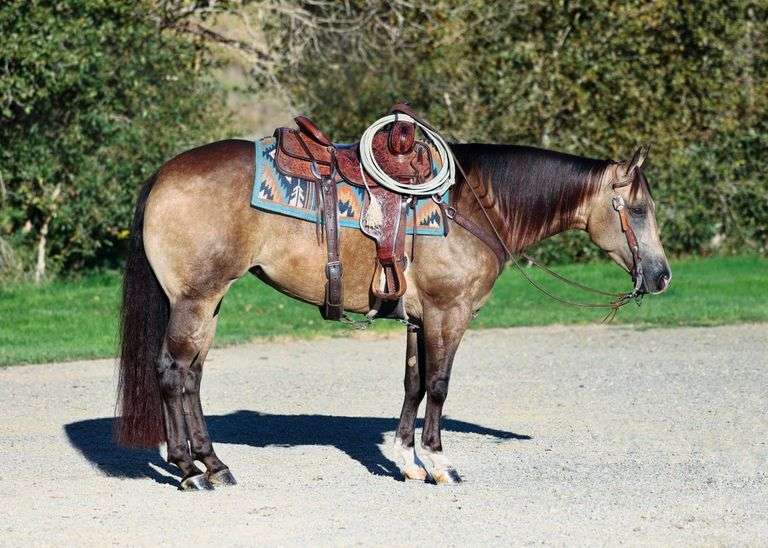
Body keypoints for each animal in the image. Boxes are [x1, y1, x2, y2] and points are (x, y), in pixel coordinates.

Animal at [116, 138, 671, 490]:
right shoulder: (450, 313)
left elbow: (413, 385)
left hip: (208, 304)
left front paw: (407, 462)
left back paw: (212, 464)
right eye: (638, 210)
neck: (475, 206)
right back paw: (190, 470)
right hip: (195, 300)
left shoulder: (418, 318)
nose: (662, 276)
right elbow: (440, 386)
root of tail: (163, 174)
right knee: (173, 374)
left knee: (191, 377)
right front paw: (440, 464)